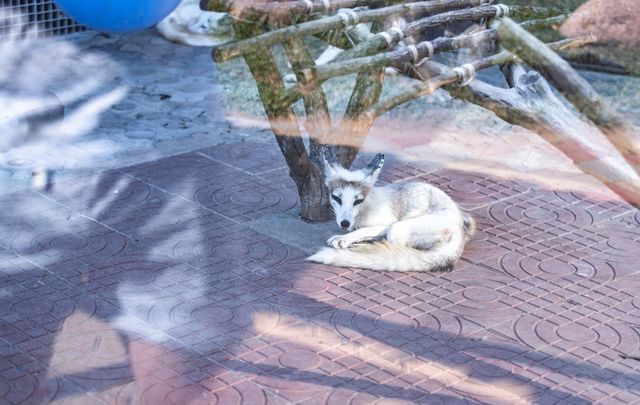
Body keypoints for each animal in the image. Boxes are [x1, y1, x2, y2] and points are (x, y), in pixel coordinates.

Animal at [304, 154, 476, 272]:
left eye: (358, 201)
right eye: (336, 198)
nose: (344, 223)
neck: (366, 206)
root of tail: (460, 229)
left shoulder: (388, 222)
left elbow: (362, 230)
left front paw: (343, 238)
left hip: (397, 228)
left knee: (398, 246)